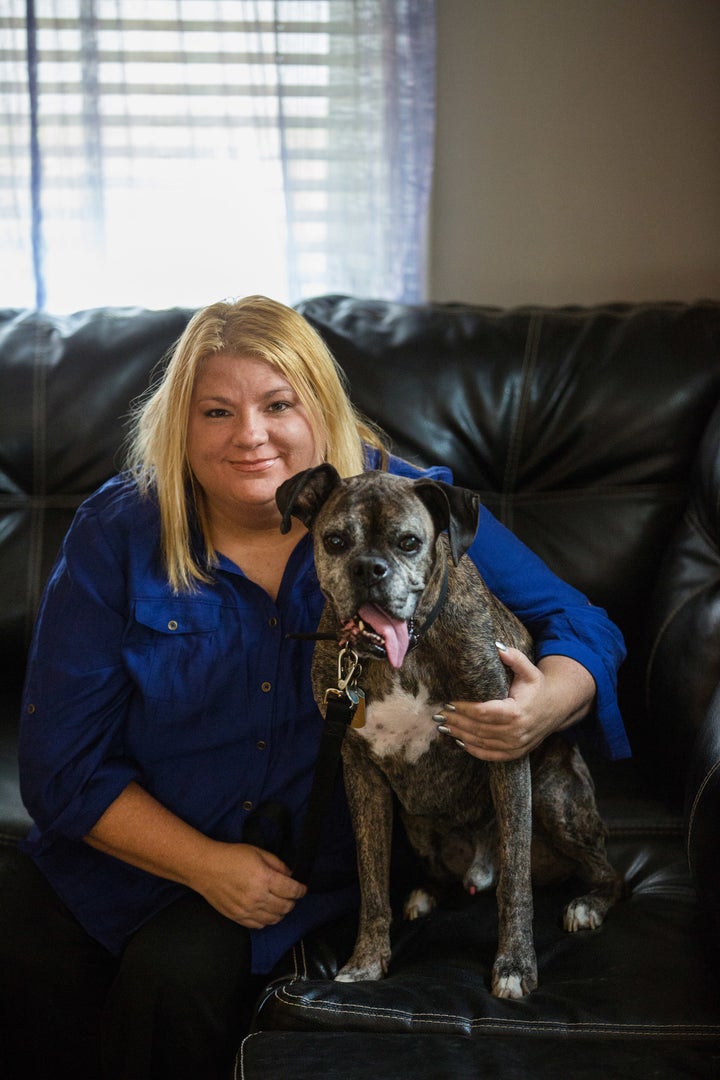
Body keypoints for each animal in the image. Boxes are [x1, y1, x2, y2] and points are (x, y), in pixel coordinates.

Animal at [276, 462, 626, 993]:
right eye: (335, 541)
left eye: (408, 542)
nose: (368, 569)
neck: (403, 652)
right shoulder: (361, 774)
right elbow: (371, 881)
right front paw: (367, 959)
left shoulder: (506, 753)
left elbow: (515, 883)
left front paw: (515, 965)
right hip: (414, 818)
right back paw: (425, 893)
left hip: (551, 796)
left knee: (605, 872)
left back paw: (587, 904)